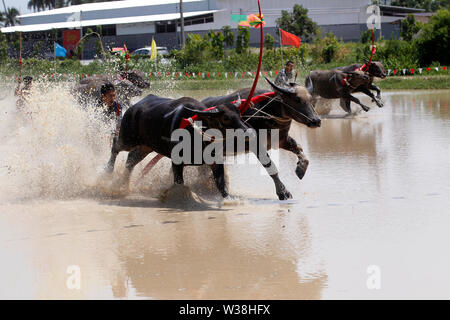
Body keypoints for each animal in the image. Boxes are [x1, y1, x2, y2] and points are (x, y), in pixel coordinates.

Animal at [106, 94, 253, 198]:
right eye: (225, 118)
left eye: (239, 114)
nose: (249, 132)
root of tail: (133, 108)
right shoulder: (176, 162)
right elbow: (179, 182)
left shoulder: (216, 160)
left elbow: (221, 183)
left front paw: (228, 199)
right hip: (127, 139)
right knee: (115, 145)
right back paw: (108, 170)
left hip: (146, 146)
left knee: (131, 160)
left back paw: (122, 184)